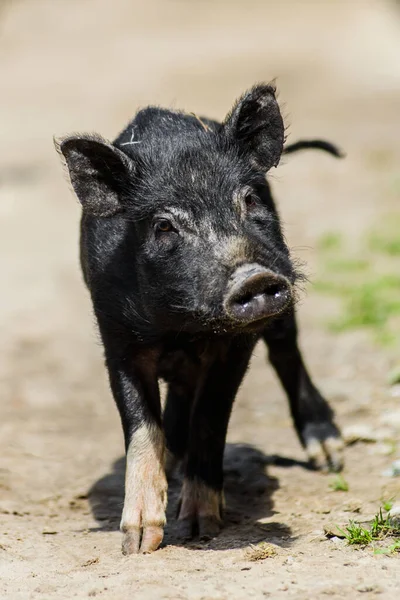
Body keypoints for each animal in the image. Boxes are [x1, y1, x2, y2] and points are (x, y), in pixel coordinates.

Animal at [56, 83, 344, 552]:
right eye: (164, 226)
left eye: (249, 199)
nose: (253, 276)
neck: (183, 325)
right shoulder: (117, 336)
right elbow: (141, 426)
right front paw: (138, 543)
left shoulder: (236, 346)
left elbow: (210, 418)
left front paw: (199, 528)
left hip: (281, 308)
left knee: (286, 353)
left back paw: (331, 457)